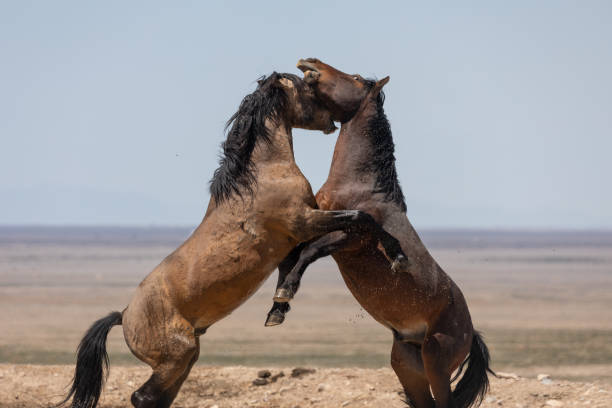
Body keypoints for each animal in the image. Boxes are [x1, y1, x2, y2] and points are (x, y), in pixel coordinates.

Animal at [59, 73, 408, 408]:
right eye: (307, 85)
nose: (331, 121)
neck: (263, 174)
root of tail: (124, 316)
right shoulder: (304, 222)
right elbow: (361, 218)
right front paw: (398, 256)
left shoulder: (290, 242)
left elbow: (296, 263)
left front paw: (278, 308)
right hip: (176, 358)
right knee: (142, 398)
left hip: (185, 361)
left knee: (155, 399)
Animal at [266, 60, 494, 408]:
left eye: (356, 78)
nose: (309, 63)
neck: (360, 186)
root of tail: (470, 332)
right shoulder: (316, 223)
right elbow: (291, 258)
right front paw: (277, 310)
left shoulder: (348, 240)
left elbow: (307, 253)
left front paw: (284, 295)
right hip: (407, 365)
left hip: (436, 362)